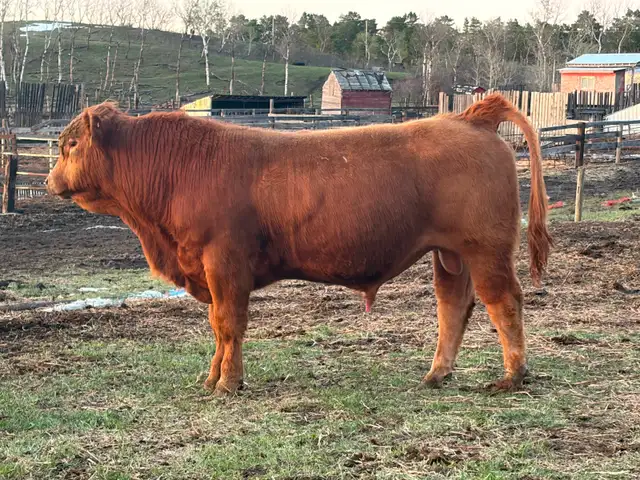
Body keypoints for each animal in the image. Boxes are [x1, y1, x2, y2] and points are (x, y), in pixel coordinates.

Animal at [46, 93, 552, 397]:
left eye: (70, 144)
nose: (50, 181)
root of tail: (469, 117)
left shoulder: (224, 263)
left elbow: (228, 324)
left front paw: (228, 383)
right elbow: (217, 327)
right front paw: (211, 378)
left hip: (485, 248)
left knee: (504, 302)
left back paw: (512, 375)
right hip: (450, 255)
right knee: (454, 306)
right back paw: (437, 374)